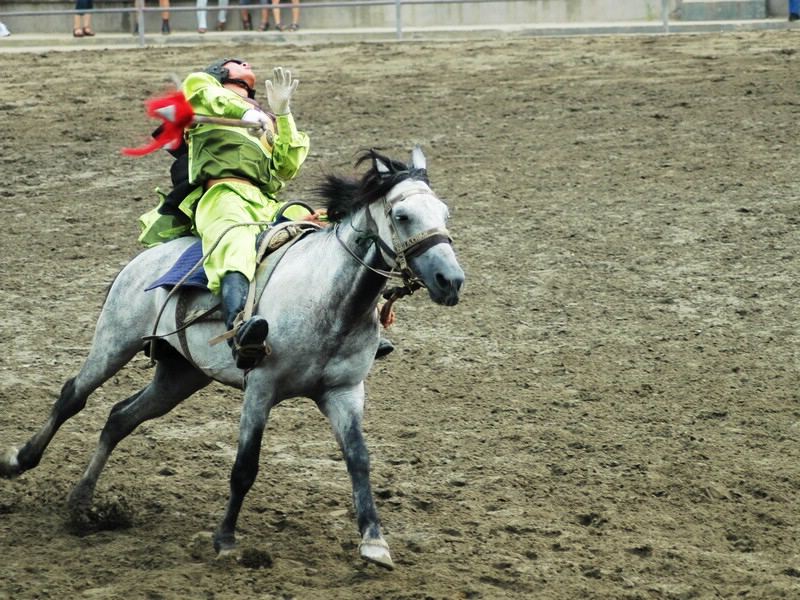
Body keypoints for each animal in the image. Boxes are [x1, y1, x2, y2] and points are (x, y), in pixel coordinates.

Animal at [0, 148, 462, 568]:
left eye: (444, 213)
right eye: (402, 215)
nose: (451, 280)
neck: (331, 302)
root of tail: (145, 259)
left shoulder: (344, 392)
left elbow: (359, 461)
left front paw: (374, 541)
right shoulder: (261, 388)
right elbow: (244, 467)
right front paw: (224, 539)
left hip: (179, 376)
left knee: (119, 418)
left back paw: (82, 501)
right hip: (114, 343)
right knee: (72, 396)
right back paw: (19, 460)